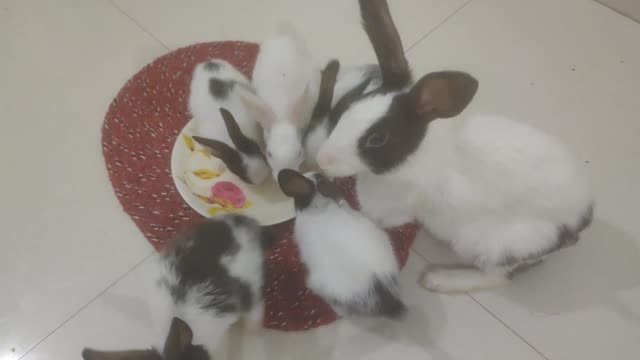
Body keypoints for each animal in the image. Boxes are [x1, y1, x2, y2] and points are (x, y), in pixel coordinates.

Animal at [316, 0, 596, 292]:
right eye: (350, 107)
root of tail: (582, 219)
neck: (414, 154)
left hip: (494, 246)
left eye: (377, 138)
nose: (321, 159)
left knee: (498, 278)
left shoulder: (390, 210)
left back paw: (437, 279)